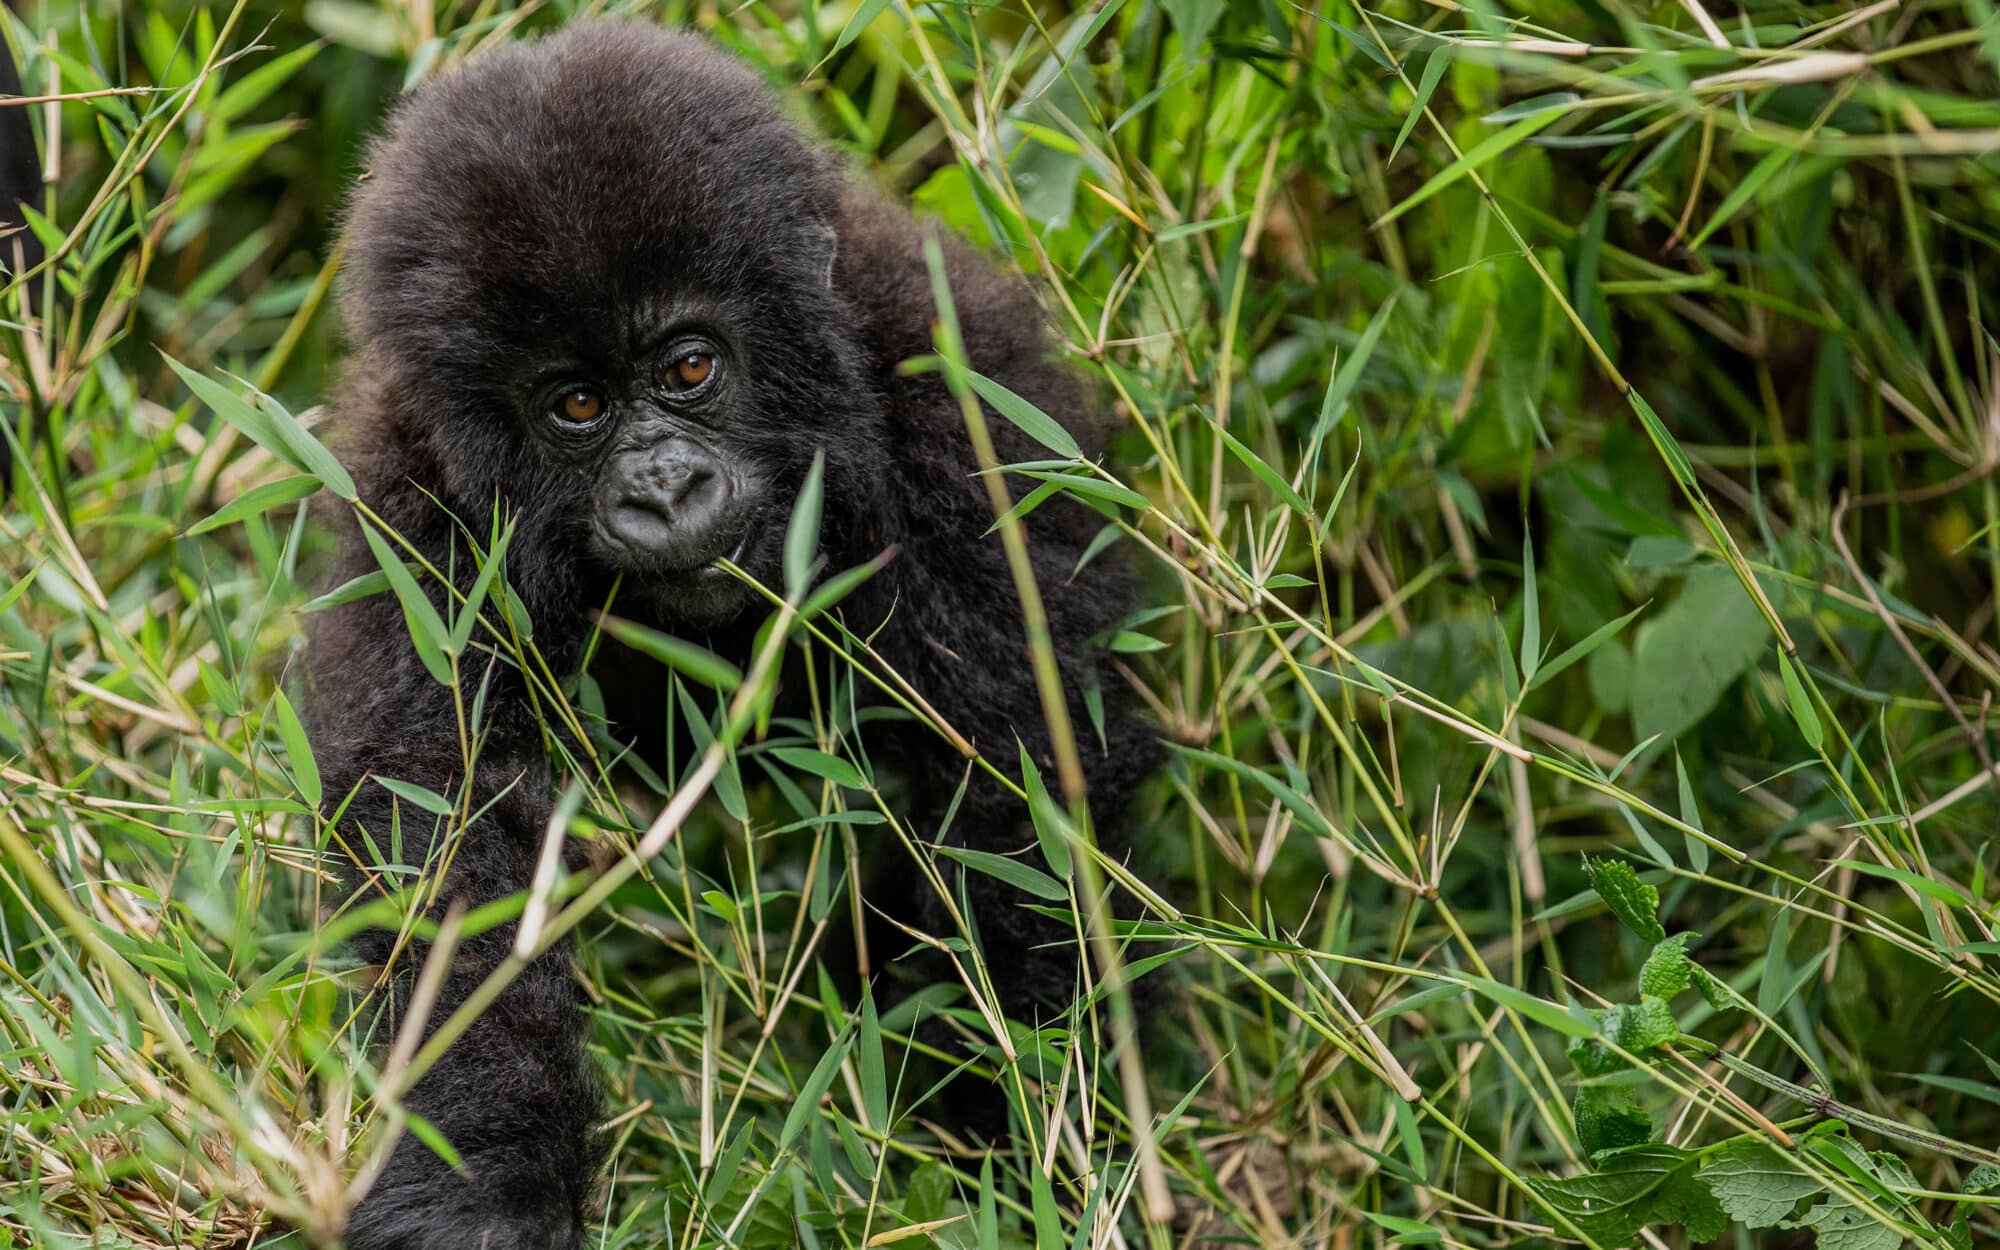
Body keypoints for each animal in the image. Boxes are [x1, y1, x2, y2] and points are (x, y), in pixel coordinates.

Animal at [306, 20, 1157, 1249]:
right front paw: (482, 1193)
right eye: (576, 405)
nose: (665, 488)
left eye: (691, 367)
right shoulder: (414, 510)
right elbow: (447, 849)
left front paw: (1023, 1142)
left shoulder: (962, 395)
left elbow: (1018, 794)